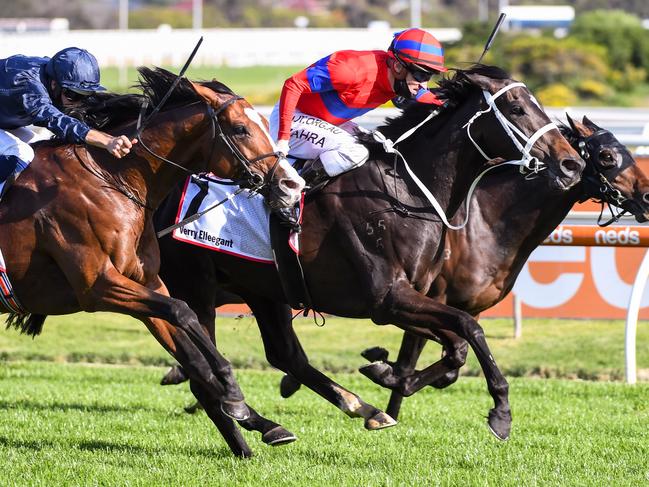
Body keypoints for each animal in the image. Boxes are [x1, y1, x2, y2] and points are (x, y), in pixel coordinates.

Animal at [0, 67, 304, 458]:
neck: (112, 179)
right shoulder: (99, 286)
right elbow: (183, 312)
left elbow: (192, 353)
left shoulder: (145, 283)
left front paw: (254, 422)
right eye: (240, 129)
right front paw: (234, 395)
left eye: (265, 123)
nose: (291, 184)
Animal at [153, 65, 584, 458]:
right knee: (205, 372)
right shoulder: (386, 298)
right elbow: (468, 329)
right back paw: (248, 436)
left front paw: (386, 371)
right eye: (516, 107)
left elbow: (456, 346)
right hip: (195, 287)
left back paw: (347, 411)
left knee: (285, 355)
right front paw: (501, 412)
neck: (403, 192)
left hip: (263, 288)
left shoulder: (410, 298)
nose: (571, 164)